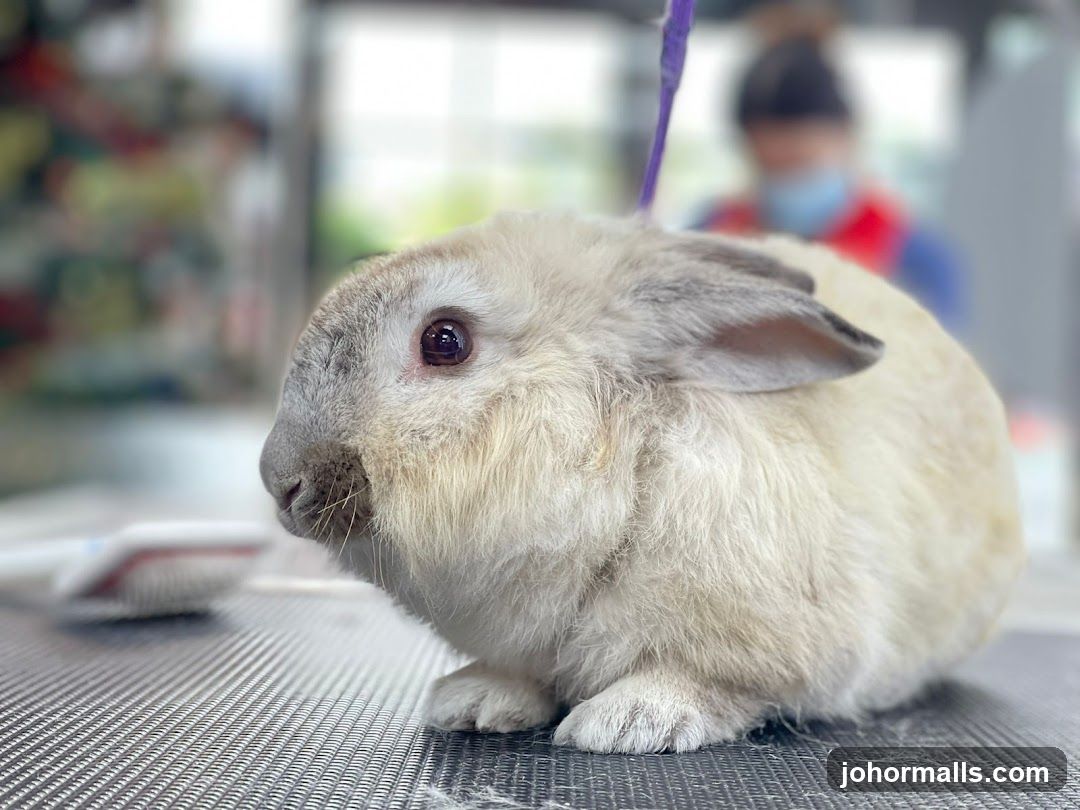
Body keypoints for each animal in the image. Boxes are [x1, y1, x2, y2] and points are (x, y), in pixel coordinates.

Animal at [259, 211, 1025, 753]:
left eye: (444, 341)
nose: (279, 482)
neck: (629, 475)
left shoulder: (772, 647)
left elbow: (706, 682)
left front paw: (629, 722)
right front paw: (473, 705)